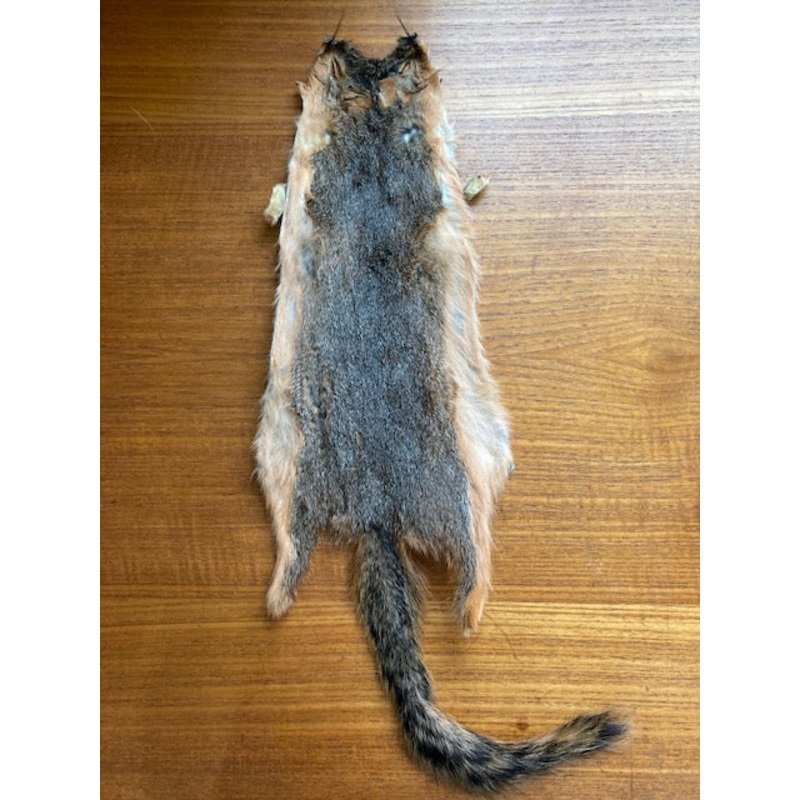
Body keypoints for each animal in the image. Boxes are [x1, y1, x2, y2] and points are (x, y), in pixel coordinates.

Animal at [253, 31, 627, 792]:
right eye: (354, 58)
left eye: (387, 61)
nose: (393, 42)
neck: (371, 123)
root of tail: (377, 509)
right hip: (461, 457)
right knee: (472, 571)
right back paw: (472, 609)